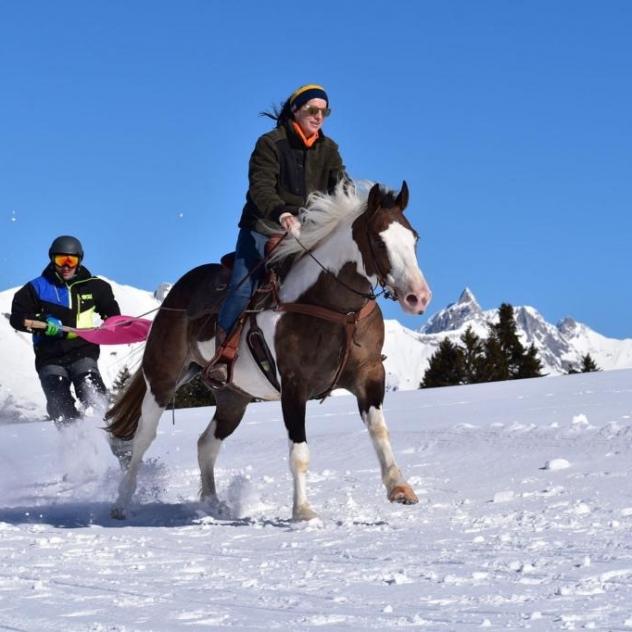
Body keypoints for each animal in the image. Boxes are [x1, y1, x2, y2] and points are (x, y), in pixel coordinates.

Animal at [108, 180, 432, 520]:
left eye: (414, 238)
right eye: (379, 240)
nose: (418, 297)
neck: (334, 309)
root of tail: (178, 292)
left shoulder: (368, 375)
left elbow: (379, 430)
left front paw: (399, 487)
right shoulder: (294, 385)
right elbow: (299, 451)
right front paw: (303, 511)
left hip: (232, 398)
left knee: (206, 444)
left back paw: (213, 503)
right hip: (162, 378)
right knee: (143, 438)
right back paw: (121, 503)